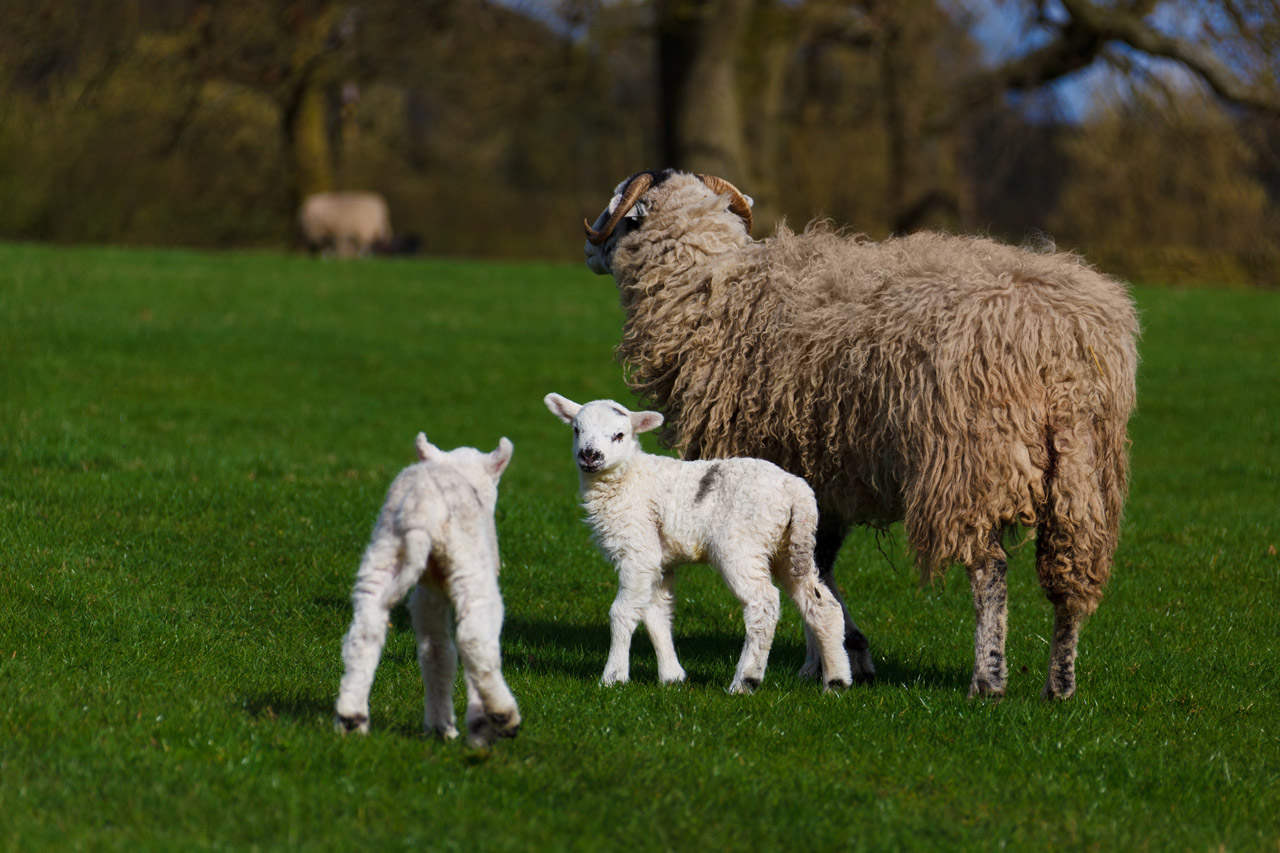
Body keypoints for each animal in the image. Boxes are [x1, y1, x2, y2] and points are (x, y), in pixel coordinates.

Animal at [337, 432, 527, 742]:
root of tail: (421, 509)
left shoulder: (427, 597)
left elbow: (436, 652)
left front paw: (441, 726)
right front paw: (477, 723)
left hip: (383, 553)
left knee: (365, 632)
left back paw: (351, 717)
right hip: (470, 567)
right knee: (473, 640)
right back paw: (503, 715)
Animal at [542, 391, 855, 691]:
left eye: (619, 435)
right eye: (577, 430)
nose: (589, 456)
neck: (629, 479)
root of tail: (796, 490)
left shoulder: (637, 550)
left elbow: (622, 611)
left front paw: (613, 677)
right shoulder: (659, 561)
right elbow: (656, 614)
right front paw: (672, 677)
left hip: (742, 544)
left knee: (763, 603)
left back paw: (745, 681)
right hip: (791, 545)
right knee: (821, 603)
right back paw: (836, 681)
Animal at [581, 167, 1141, 696]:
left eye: (620, 211)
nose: (587, 249)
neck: (708, 286)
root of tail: (1059, 338)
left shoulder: (791, 467)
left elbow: (811, 567)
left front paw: (835, 657)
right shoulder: (823, 477)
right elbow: (813, 564)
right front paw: (831, 659)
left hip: (970, 462)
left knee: (990, 570)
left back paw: (988, 680)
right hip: (1083, 469)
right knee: (1071, 575)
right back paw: (1060, 685)